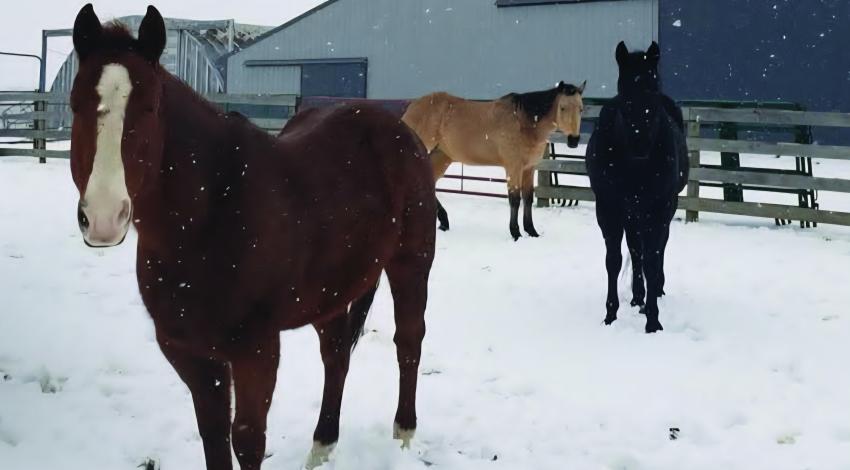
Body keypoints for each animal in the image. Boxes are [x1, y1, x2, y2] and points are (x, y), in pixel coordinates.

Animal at [68, 5, 436, 469]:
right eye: (75, 105)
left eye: (150, 107)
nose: (102, 217)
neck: (207, 218)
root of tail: (399, 129)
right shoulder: (188, 351)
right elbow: (213, 434)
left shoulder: (255, 350)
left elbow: (246, 439)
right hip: (331, 292)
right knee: (336, 355)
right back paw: (321, 447)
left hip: (411, 264)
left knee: (408, 341)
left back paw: (403, 436)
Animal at [402, 81, 586, 241]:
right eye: (562, 108)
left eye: (581, 109)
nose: (574, 140)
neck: (523, 122)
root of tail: (412, 106)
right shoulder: (513, 167)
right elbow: (515, 199)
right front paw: (515, 233)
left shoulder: (529, 168)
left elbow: (528, 198)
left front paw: (532, 231)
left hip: (442, 156)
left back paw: (443, 222)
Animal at [585, 41, 689, 333]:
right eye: (624, 92)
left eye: (652, 90)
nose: (640, 145)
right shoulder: (608, 209)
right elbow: (614, 260)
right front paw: (610, 314)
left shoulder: (658, 209)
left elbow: (653, 259)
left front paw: (653, 320)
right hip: (631, 214)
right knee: (635, 249)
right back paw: (637, 297)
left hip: (657, 211)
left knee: (657, 249)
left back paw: (654, 293)